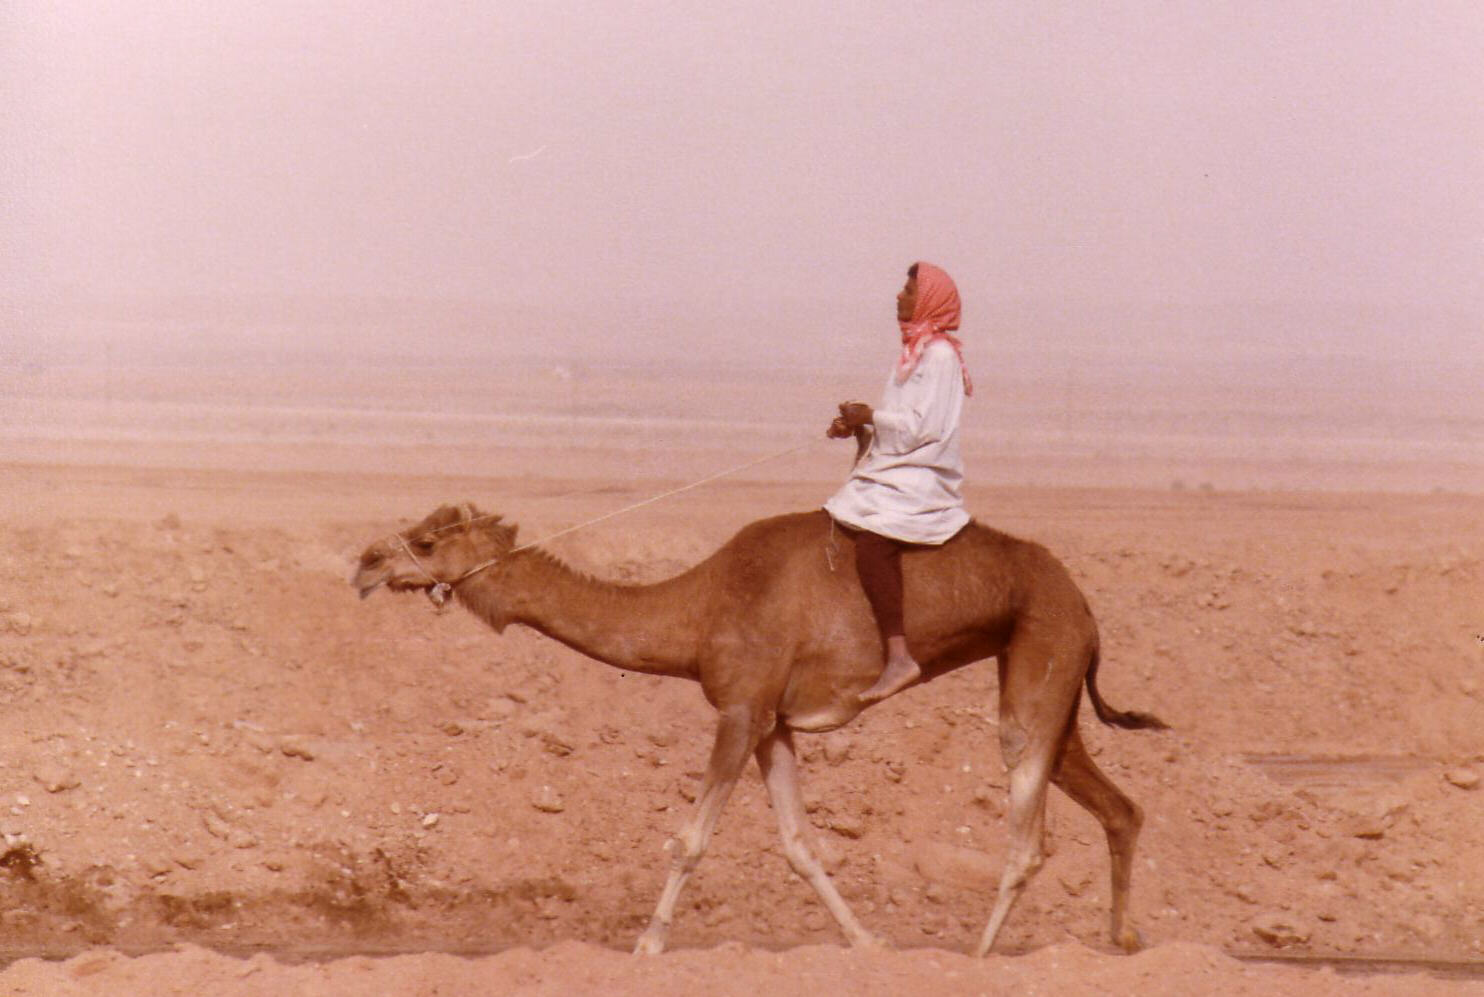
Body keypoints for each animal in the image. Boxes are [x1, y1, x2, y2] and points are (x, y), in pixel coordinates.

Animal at [353, 507, 1163, 955]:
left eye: (427, 540)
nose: (364, 563)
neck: (699, 608)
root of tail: (1083, 603)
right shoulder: (773, 723)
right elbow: (800, 844)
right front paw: (866, 941)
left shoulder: (740, 708)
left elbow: (690, 836)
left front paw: (647, 943)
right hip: (1052, 683)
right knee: (1119, 807)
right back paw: (1121, 939)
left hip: (1041, 658)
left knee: (1028, 831)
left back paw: (976, 957)